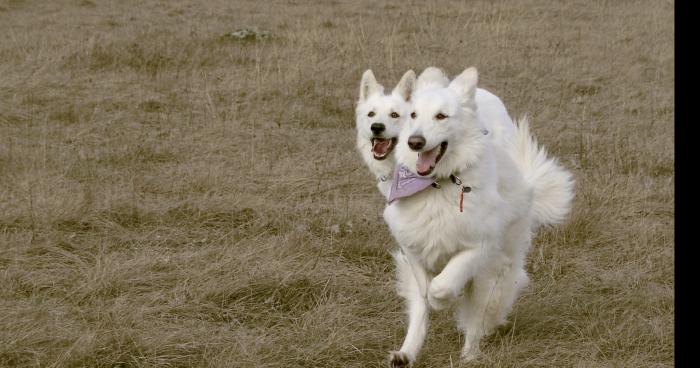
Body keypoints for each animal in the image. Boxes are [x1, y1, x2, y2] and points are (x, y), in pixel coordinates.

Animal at [382, 67, 576, 366]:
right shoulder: (412, 246)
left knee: (476, 321)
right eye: (412, 115)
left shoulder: (478, 247)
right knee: (420, 311)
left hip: (492, 275)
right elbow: (424, 293)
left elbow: (441, 286)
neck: (438, 185)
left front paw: (443, 298)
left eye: (441, 116)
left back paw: (469, 356)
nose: (415, 142)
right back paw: (406, 354)